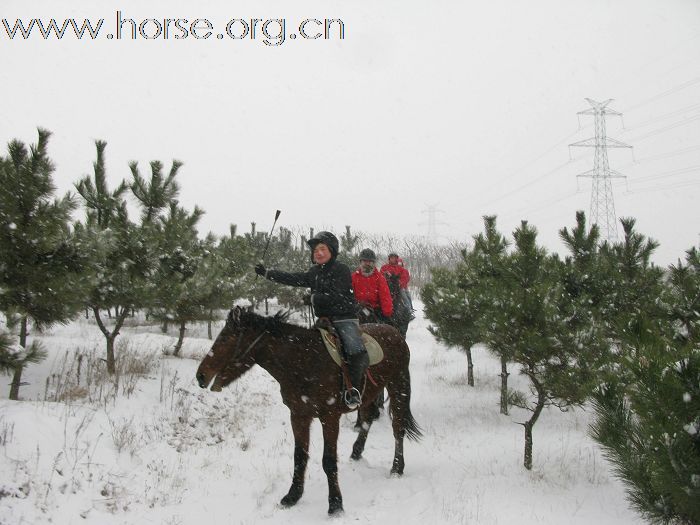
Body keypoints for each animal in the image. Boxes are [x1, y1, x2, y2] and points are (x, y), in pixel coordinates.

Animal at [196, 304, 422, 512]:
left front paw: (335, 504)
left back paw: (396, 467)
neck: (303, 361)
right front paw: (292, 496)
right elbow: (299, 456)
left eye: (225, 338)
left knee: (398, 428)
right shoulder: (298, 415)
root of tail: (394, 332)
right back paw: (357, 452)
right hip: (371, 393)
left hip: (398, 385)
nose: (200, 376)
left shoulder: (329, 417)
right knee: (367, 418)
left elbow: (329, 460)